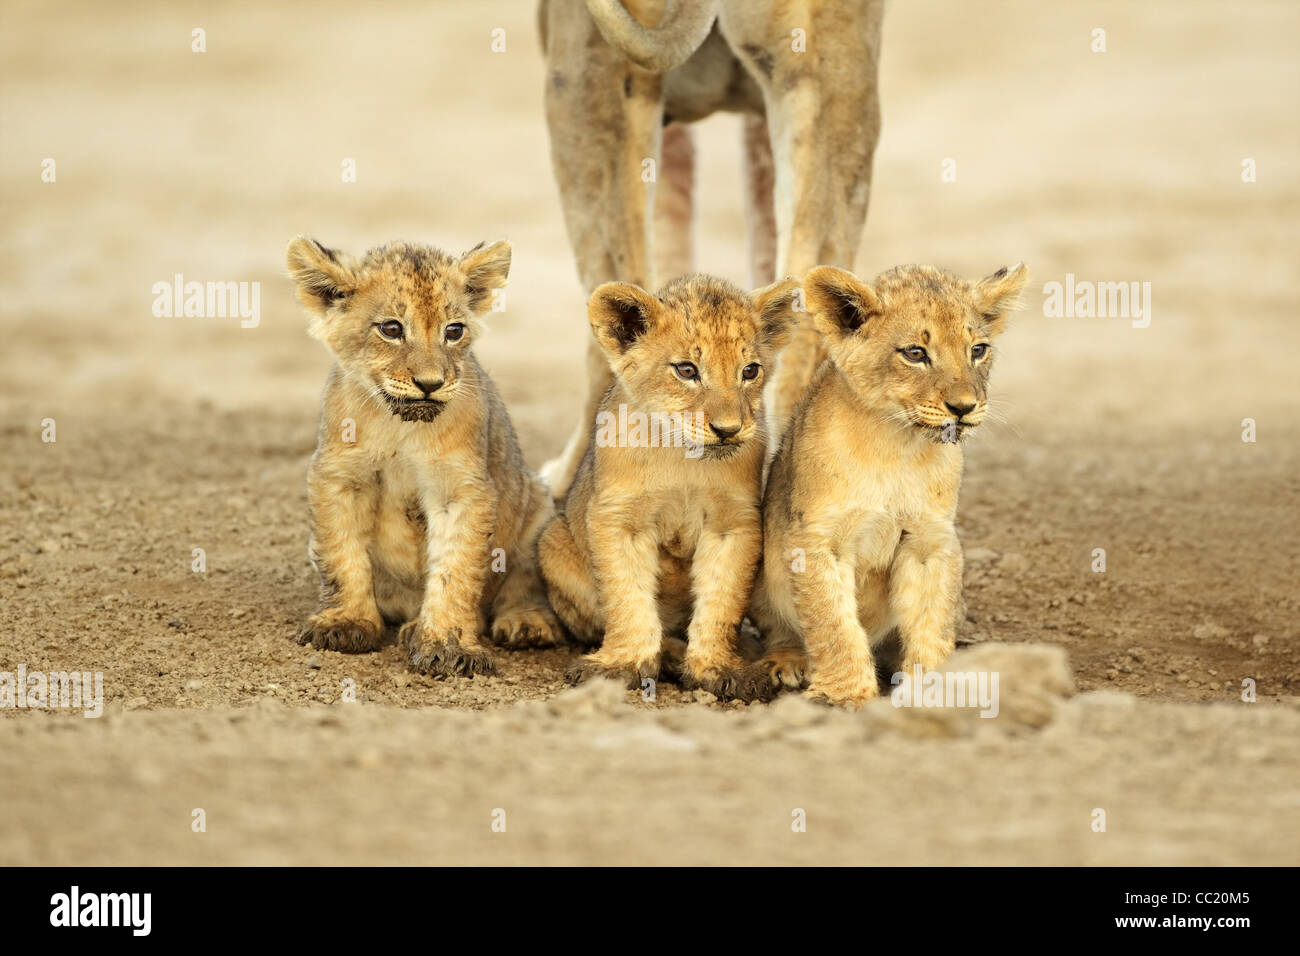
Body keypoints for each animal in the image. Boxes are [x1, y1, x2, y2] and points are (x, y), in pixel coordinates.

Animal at [286, 236, 562, 677]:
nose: (430, 384)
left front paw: (449, 646)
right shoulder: (339, 476)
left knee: (522, 584)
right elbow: (342, 554)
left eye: (454, 331)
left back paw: (523, 624)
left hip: (537, 503)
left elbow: (455, 570)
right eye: (391, 329)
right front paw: (345, 623)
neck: (401, 424)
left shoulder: (462, 488)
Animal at [537, 273, 800, 699]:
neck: (683, 458)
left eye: (749, 371)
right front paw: (623, 663)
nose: (728, 430)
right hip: (553, 543)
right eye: (687, 370)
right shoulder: (619, 519)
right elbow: (627, 597)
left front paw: (717, 667)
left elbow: (722, 599)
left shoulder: (734, 522)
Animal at [751, 262, 1029, 707]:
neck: (897, 445)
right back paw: (788, 661)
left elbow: (931, 621)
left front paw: (934, 689)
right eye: (915, 353)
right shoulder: (816, 539)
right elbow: (832, 622)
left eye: (978, 350)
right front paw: (845, 696)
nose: (964, 408)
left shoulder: (930, 540)